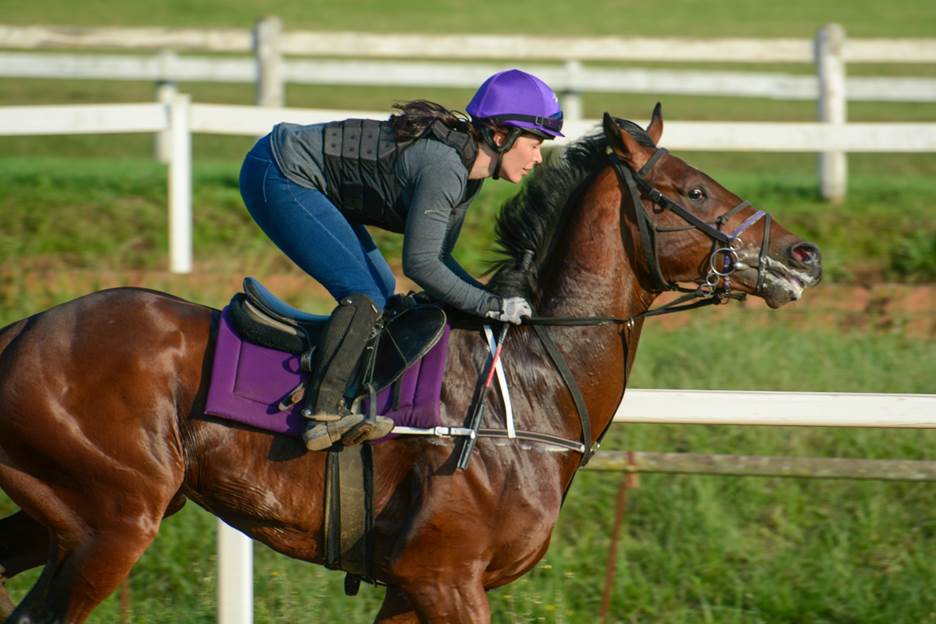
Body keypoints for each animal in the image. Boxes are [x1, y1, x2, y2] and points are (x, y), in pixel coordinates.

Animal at [0, 105, 822, 623]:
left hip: (72, 512)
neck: (530, 389)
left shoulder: (410, 587)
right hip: (114, 520)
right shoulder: (444, 578)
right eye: (693, 190)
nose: (804, 254)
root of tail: (23, 328)